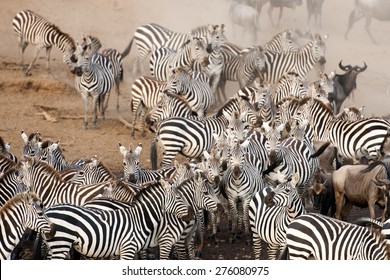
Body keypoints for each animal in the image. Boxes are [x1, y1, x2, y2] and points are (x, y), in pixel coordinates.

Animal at [42, 180, 193, 260]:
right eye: (178, 197)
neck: (139, 219)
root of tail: (47, 211)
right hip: (61, 244)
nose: (191, 214)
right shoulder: (129, 248)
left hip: (54, 246)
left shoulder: (121, 250)